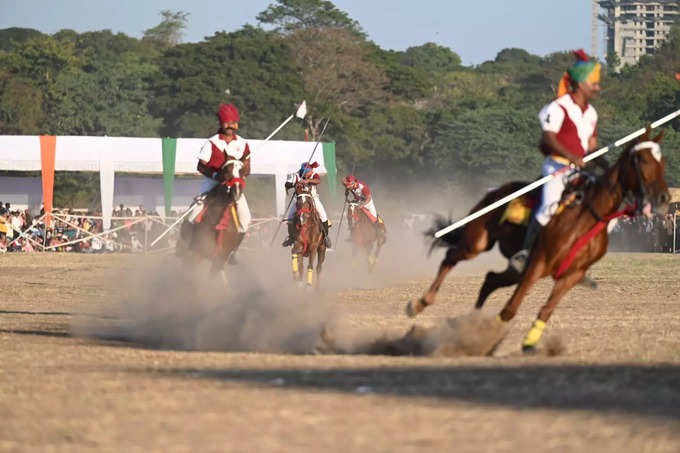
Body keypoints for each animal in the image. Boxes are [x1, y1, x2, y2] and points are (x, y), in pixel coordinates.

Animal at [406, 129, 668, 352]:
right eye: (643, 160)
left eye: (662, 161)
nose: (664, 197)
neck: (590, 215)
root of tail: (495, 190)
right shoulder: (538, 263)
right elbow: (510, 309)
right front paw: (491, 341)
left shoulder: (570, 275)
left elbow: (546, 310)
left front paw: (529, 343)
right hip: (477, 243)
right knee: (450, 258)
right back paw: (420, 304)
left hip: (514, 268)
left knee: (490, 280)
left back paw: (471, 323)